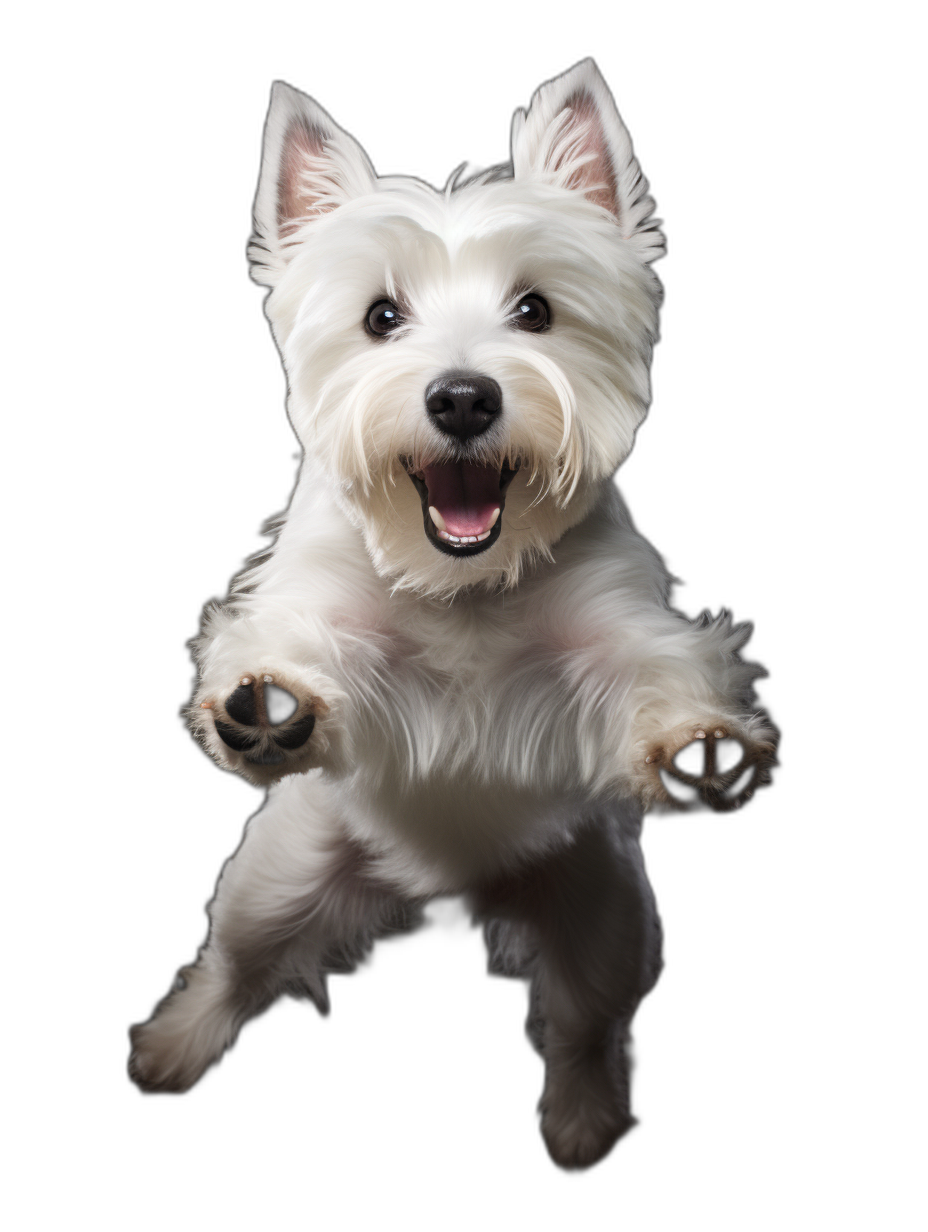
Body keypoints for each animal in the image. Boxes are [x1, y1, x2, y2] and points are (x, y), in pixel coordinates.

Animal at [130, 60, 778, 1172]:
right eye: (382, 317)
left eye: (535, 309)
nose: (464, 398)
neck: (464, 581)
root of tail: (450, 885)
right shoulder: (331, 615)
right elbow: (294, 645)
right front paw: (266, 705)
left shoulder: (612, 630)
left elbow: (657, 668)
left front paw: (701, 747)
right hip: (277, 874)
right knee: (233, 964)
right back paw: (170, 1047)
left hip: (609, 915)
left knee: (586, 1024)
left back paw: (583, 1121)